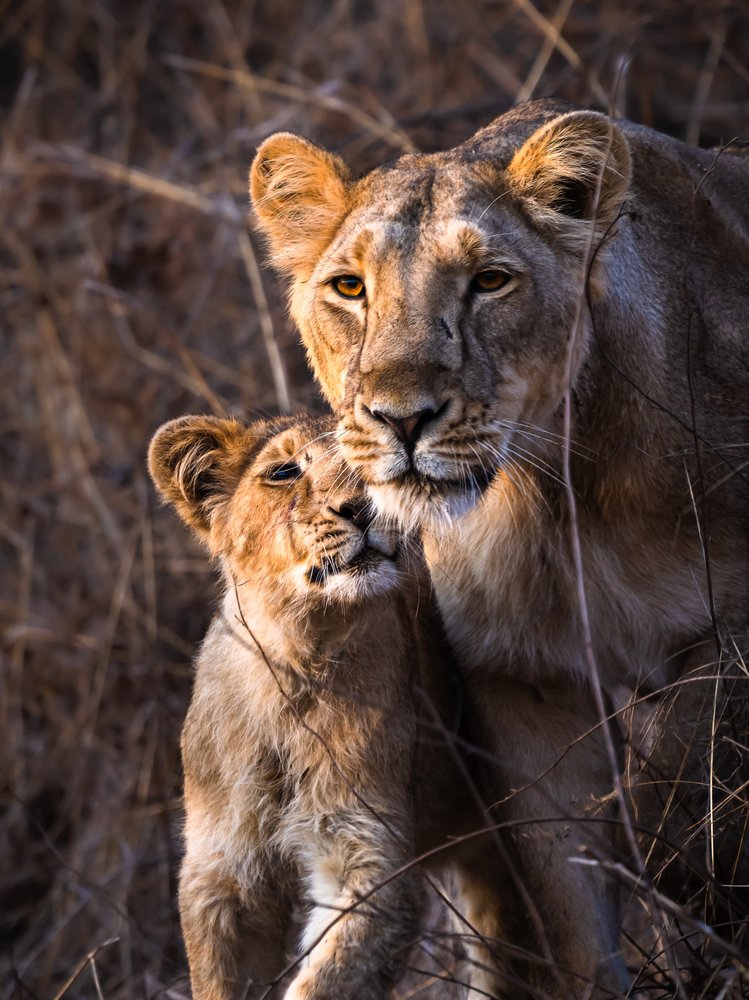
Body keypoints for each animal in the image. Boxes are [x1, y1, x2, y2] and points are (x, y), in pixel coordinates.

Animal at [148, 413, 515, 1000]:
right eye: (283, 472)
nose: (361, 508)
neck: (297, 659)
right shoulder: (223, 873)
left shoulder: (369, 855)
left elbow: (329, 979)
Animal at [249, 100, 749, 996]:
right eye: (350, 287)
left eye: (489, 281)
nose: (401, 418)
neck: (554, 497)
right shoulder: (522, 681)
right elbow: (571, 909)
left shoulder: (730, 629)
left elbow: (680, 795)